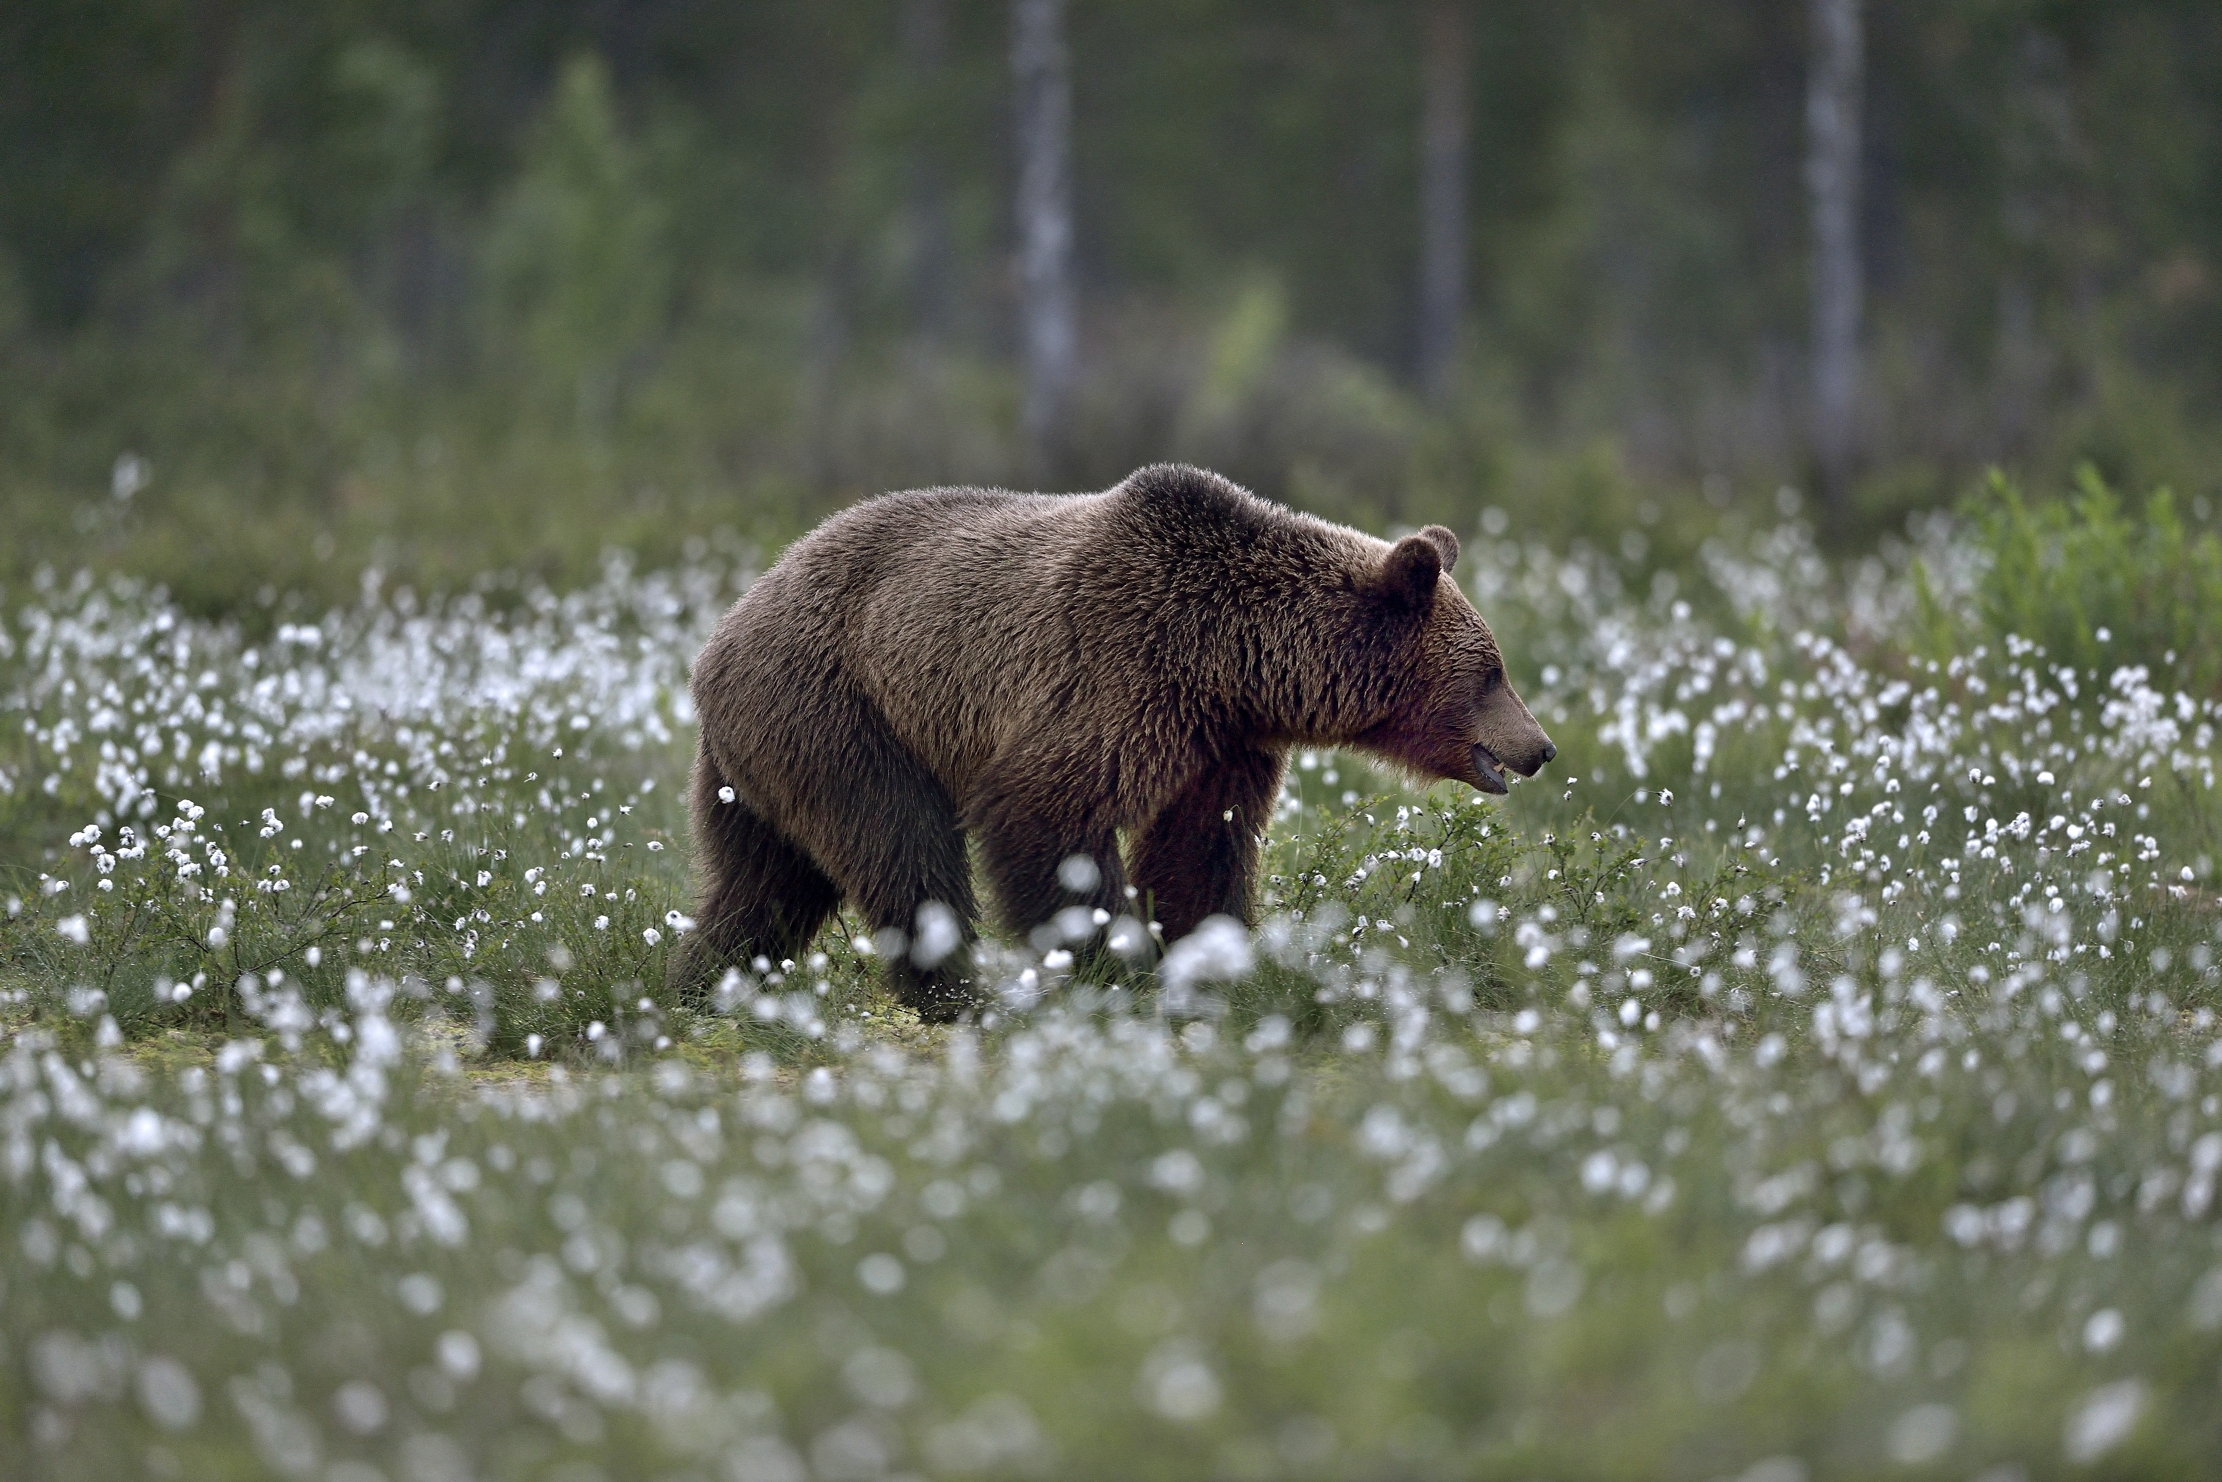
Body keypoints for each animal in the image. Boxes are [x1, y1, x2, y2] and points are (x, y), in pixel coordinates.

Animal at [671, 463, 1555, 1018]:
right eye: (1490, 672)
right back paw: (956, 994)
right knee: (902, 848)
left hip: (765, 758)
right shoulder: (1119, 672)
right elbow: (1048, 812)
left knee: (764, 884)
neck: (1233, 657)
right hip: (845, 709)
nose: (1540, 746)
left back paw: (701, 984)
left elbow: (1201, 846)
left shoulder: (1222, 742)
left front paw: (1207, 958)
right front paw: (1113, 964)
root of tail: (722, 632)